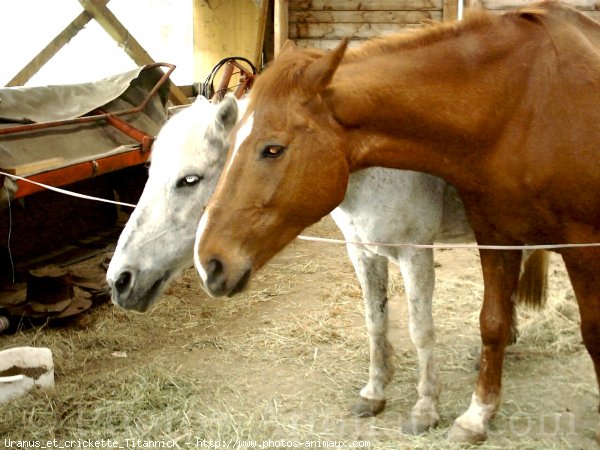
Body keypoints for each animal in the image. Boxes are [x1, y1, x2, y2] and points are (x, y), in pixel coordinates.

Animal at [106, 93, 544, 434]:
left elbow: (421, 332)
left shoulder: (414, 253)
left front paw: (425, 409)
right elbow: (375, 322)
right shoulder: (362, 251)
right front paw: (374, 393)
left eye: (190, 180)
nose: (119, 280)